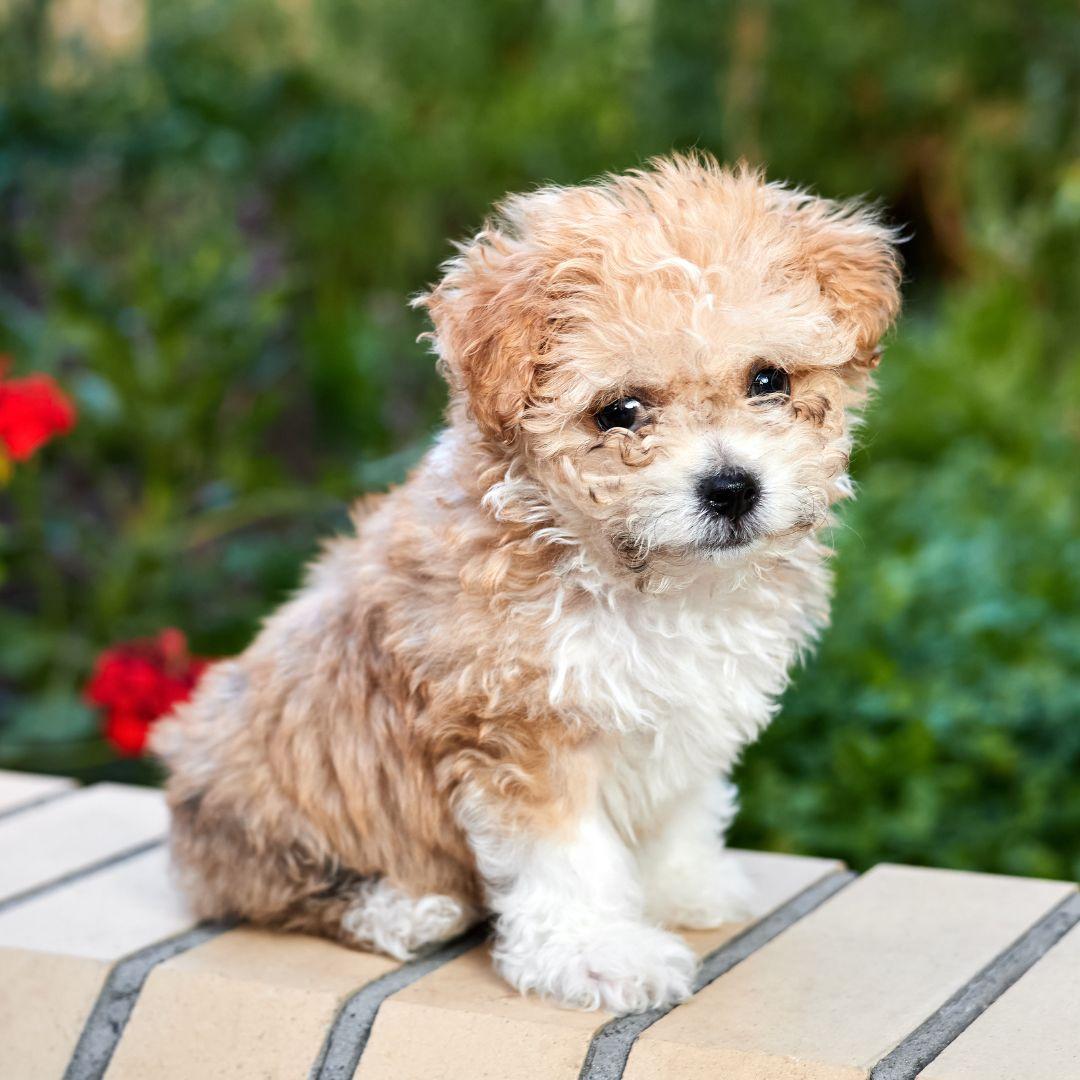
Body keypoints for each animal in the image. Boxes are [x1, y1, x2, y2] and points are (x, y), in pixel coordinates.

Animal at [150, 152, 894, 1010]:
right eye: (620, 412)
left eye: (769, 379)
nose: (731, 488)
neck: (638, 578)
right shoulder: (520, 728)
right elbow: (566, 858)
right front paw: (600, 954)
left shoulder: (688, 707)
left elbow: (680, 806)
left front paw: (685, 887)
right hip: (265, 800)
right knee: (271, 888)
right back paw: (403, 910)